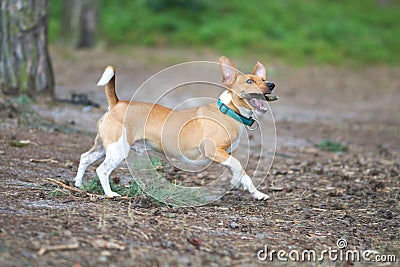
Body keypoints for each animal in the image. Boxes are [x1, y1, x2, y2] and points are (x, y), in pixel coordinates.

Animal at [74, 57, 276, 201]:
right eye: (249, 81)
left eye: (264, 79)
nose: (271, 84)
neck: (229, 110)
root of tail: (117, 103)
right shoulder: (214, 151)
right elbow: (238, 166)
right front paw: (237, 181)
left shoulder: (225, 154)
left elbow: (241, 172)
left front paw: (256, 193)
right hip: (118, 150)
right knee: (102, 170)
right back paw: (109, 194)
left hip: (103, 146)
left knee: (85, 158)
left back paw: (78, 184)